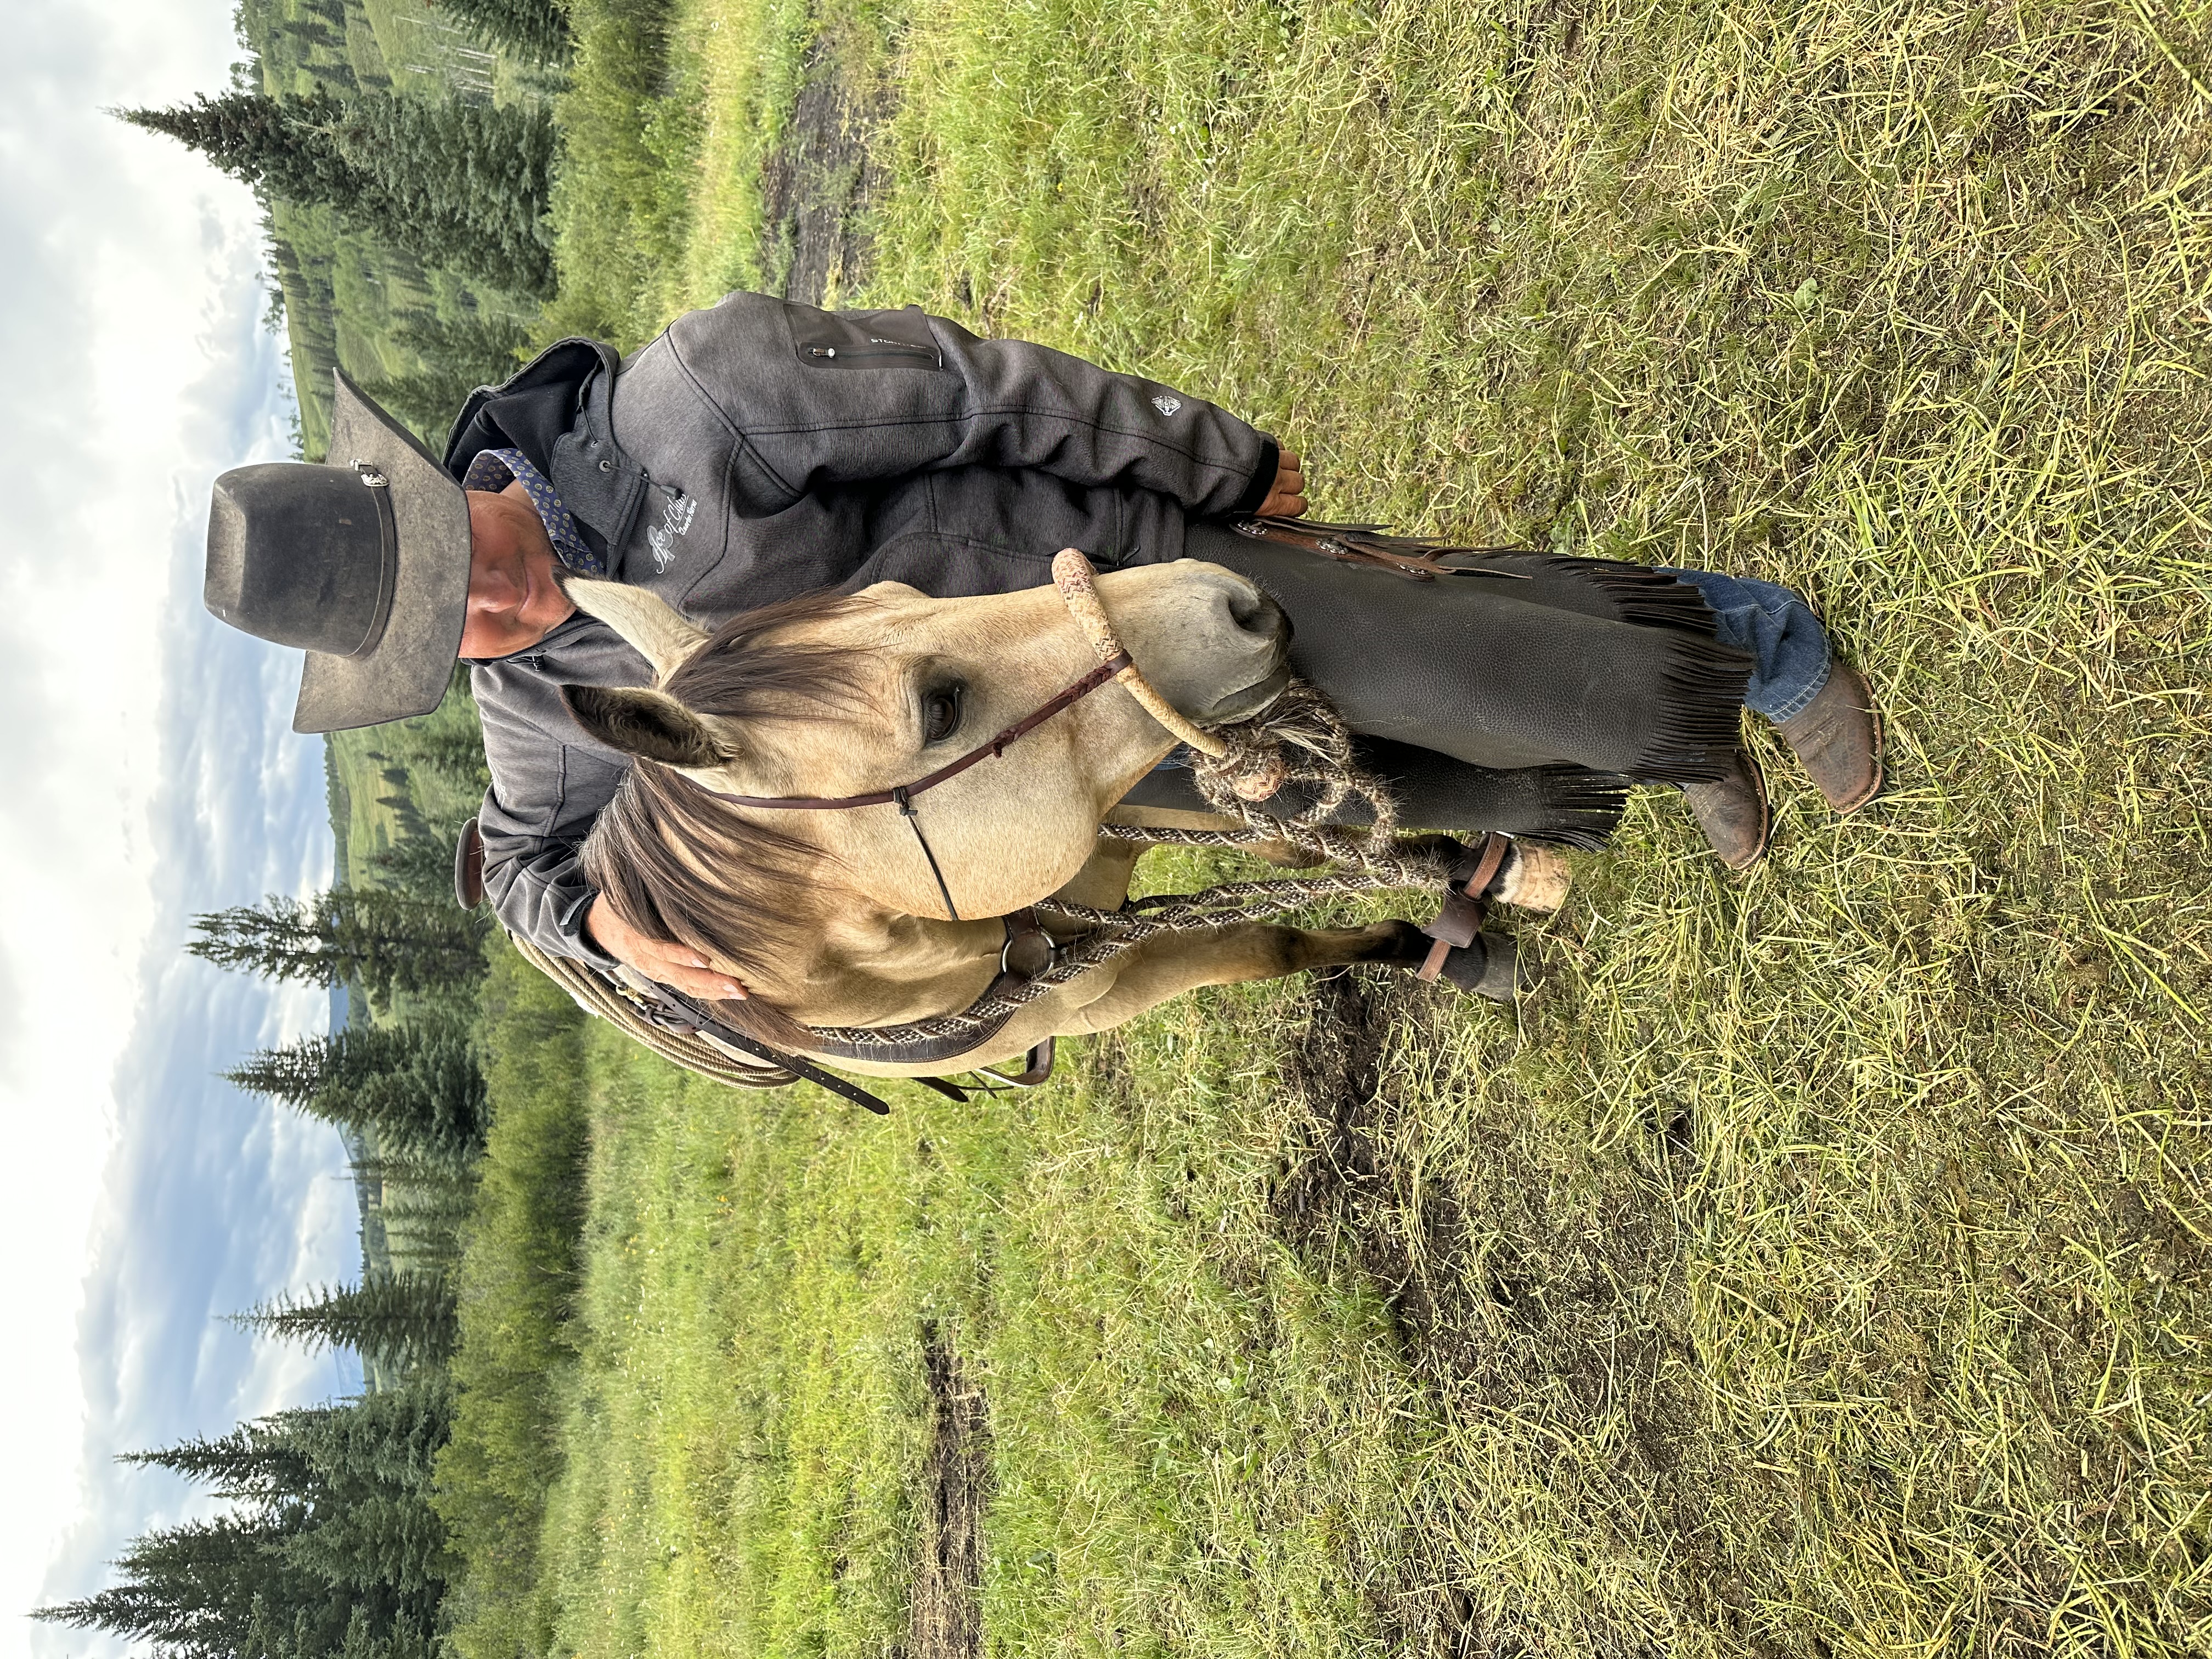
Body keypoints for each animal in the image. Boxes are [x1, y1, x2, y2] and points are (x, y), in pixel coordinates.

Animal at [554, 560, 1568, 1083]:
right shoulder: (1116, 980)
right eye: (939, 708)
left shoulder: (1105, 814)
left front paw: (1479, 870)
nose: (1232, 602)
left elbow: (1290, 837)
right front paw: (1443, 940)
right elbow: (1276, 943)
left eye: (900, 590)